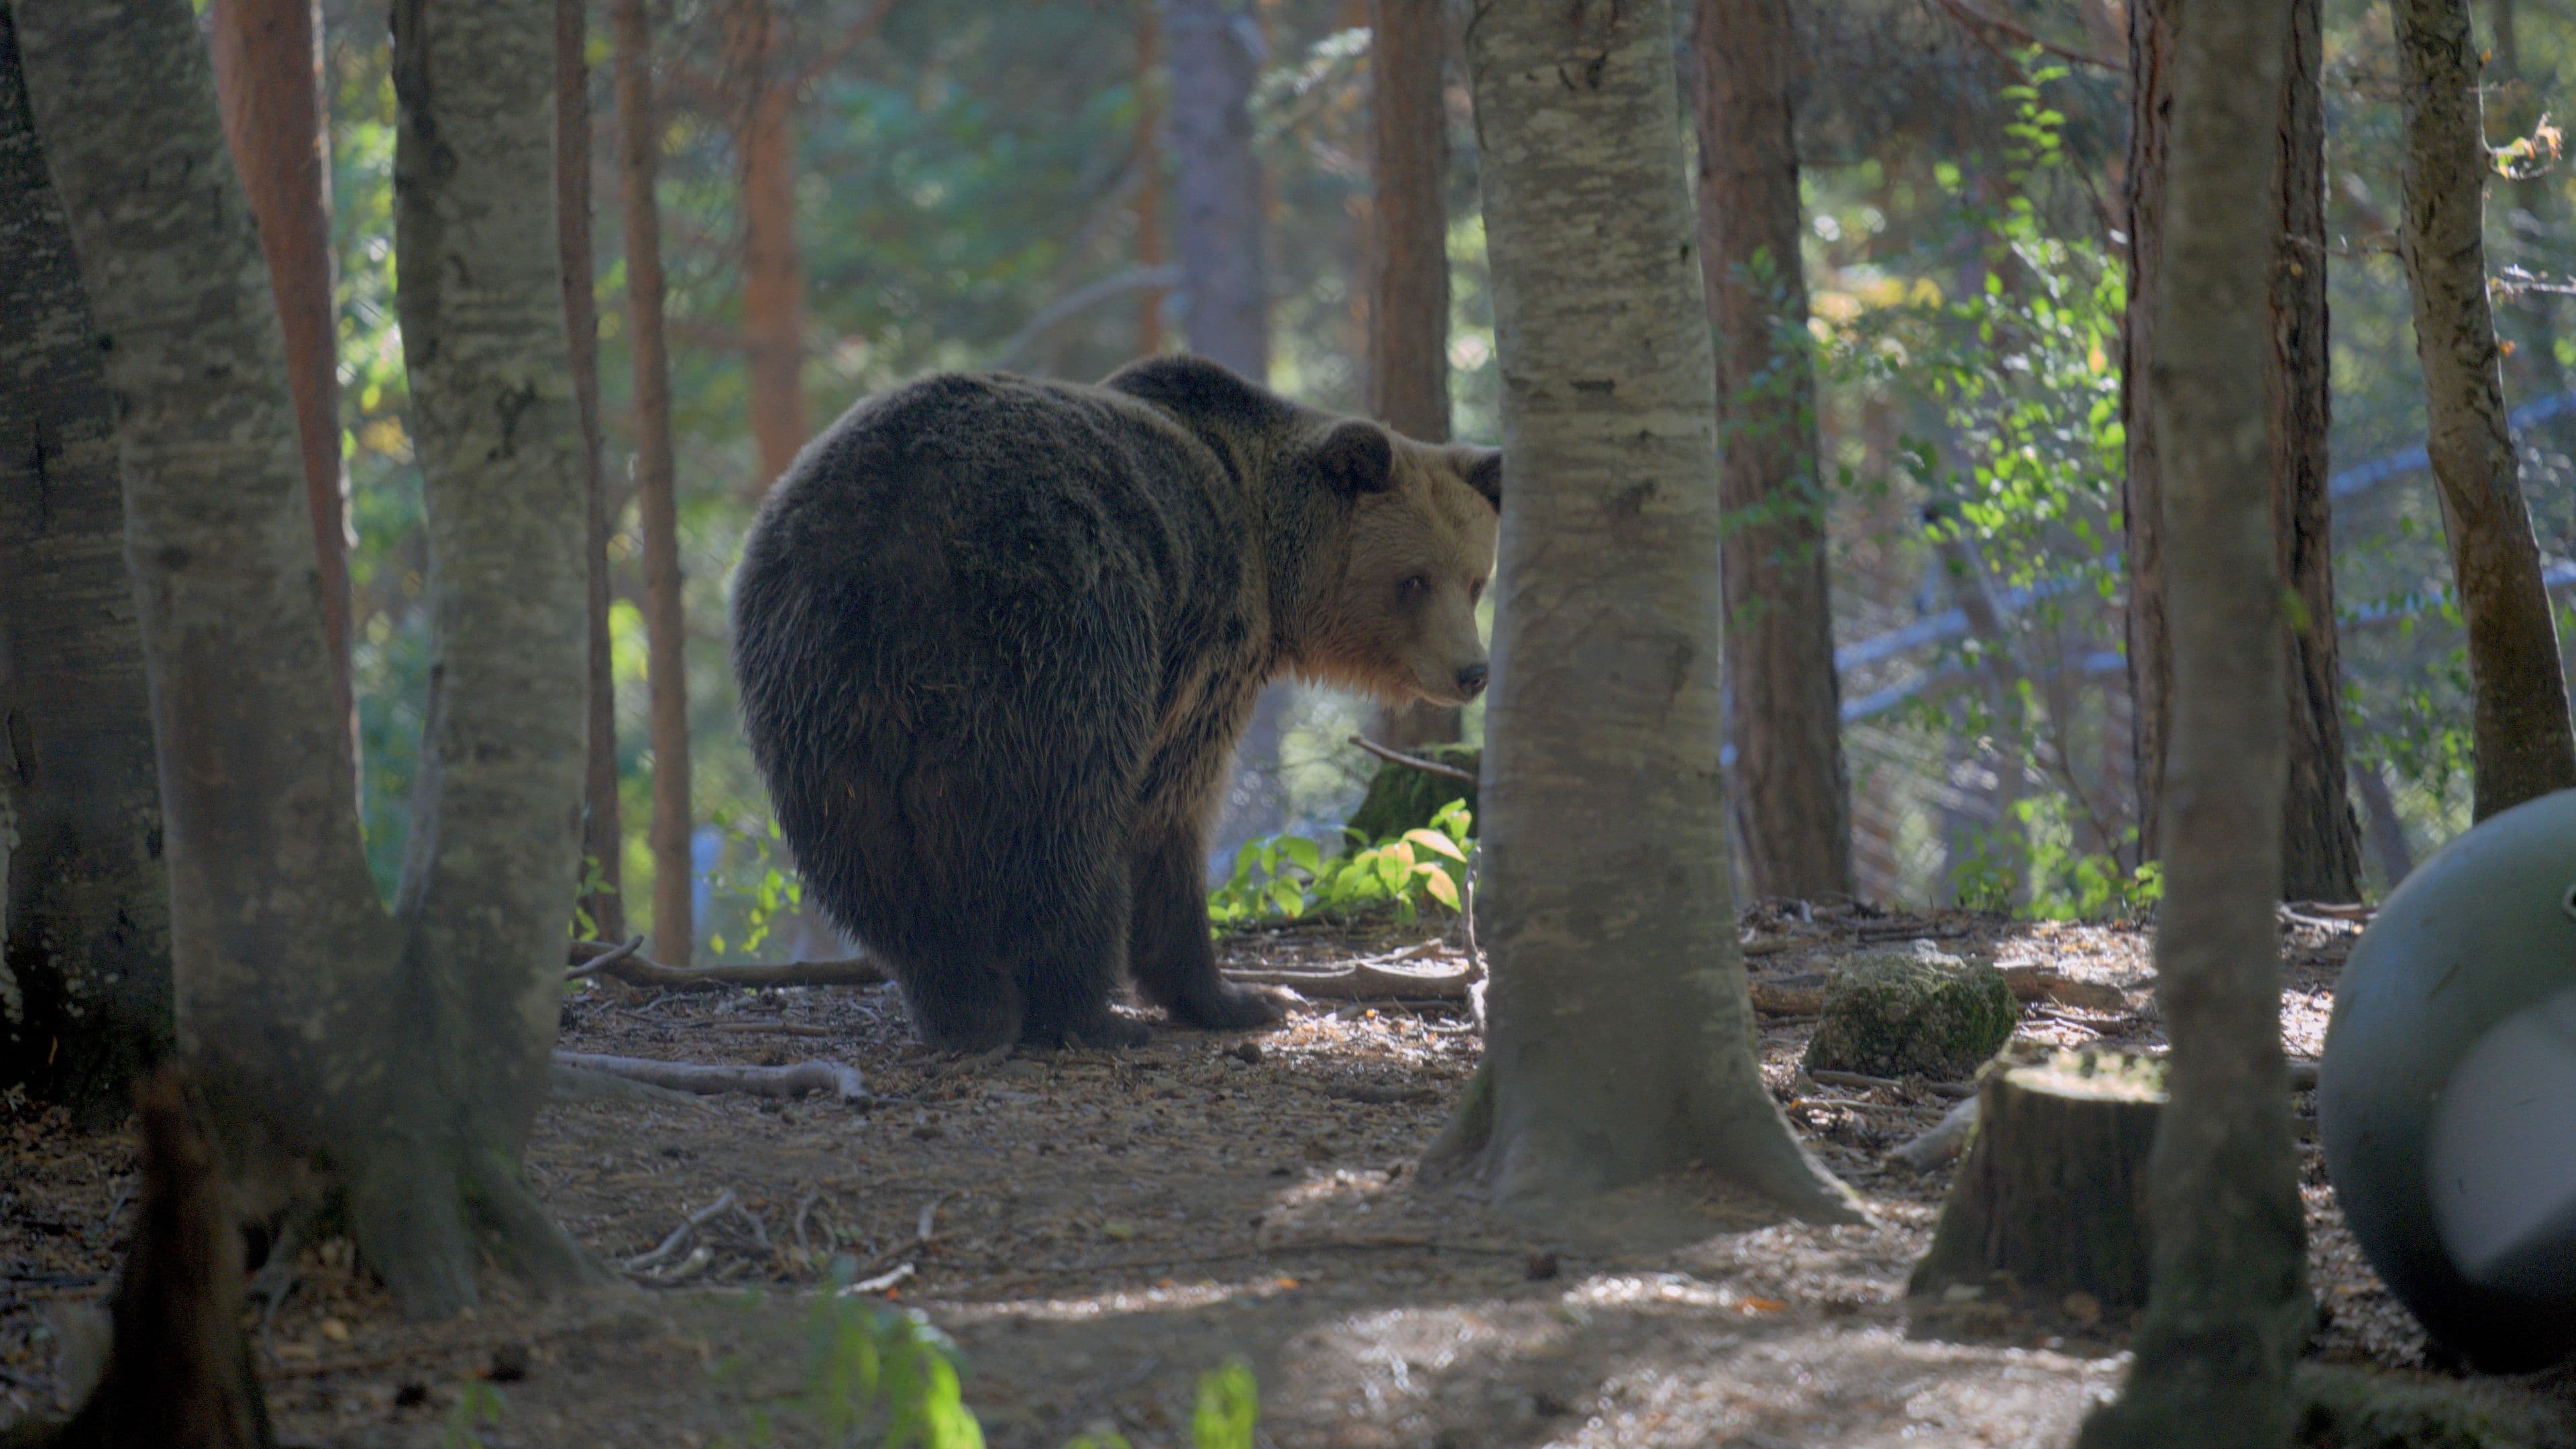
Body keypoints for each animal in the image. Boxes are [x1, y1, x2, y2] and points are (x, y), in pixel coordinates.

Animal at [730, 355, 1501, 1051]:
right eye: (1413, 579)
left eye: (1475, 580)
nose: (1473, 671)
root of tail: (899, 541)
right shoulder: (1204, 644)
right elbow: (1169, 813)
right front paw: (1241, 994)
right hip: (1055, 618)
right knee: (1064, 821)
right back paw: (1087, 1013)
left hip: (819, 679)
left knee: (867, 851)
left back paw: (962, 1004)